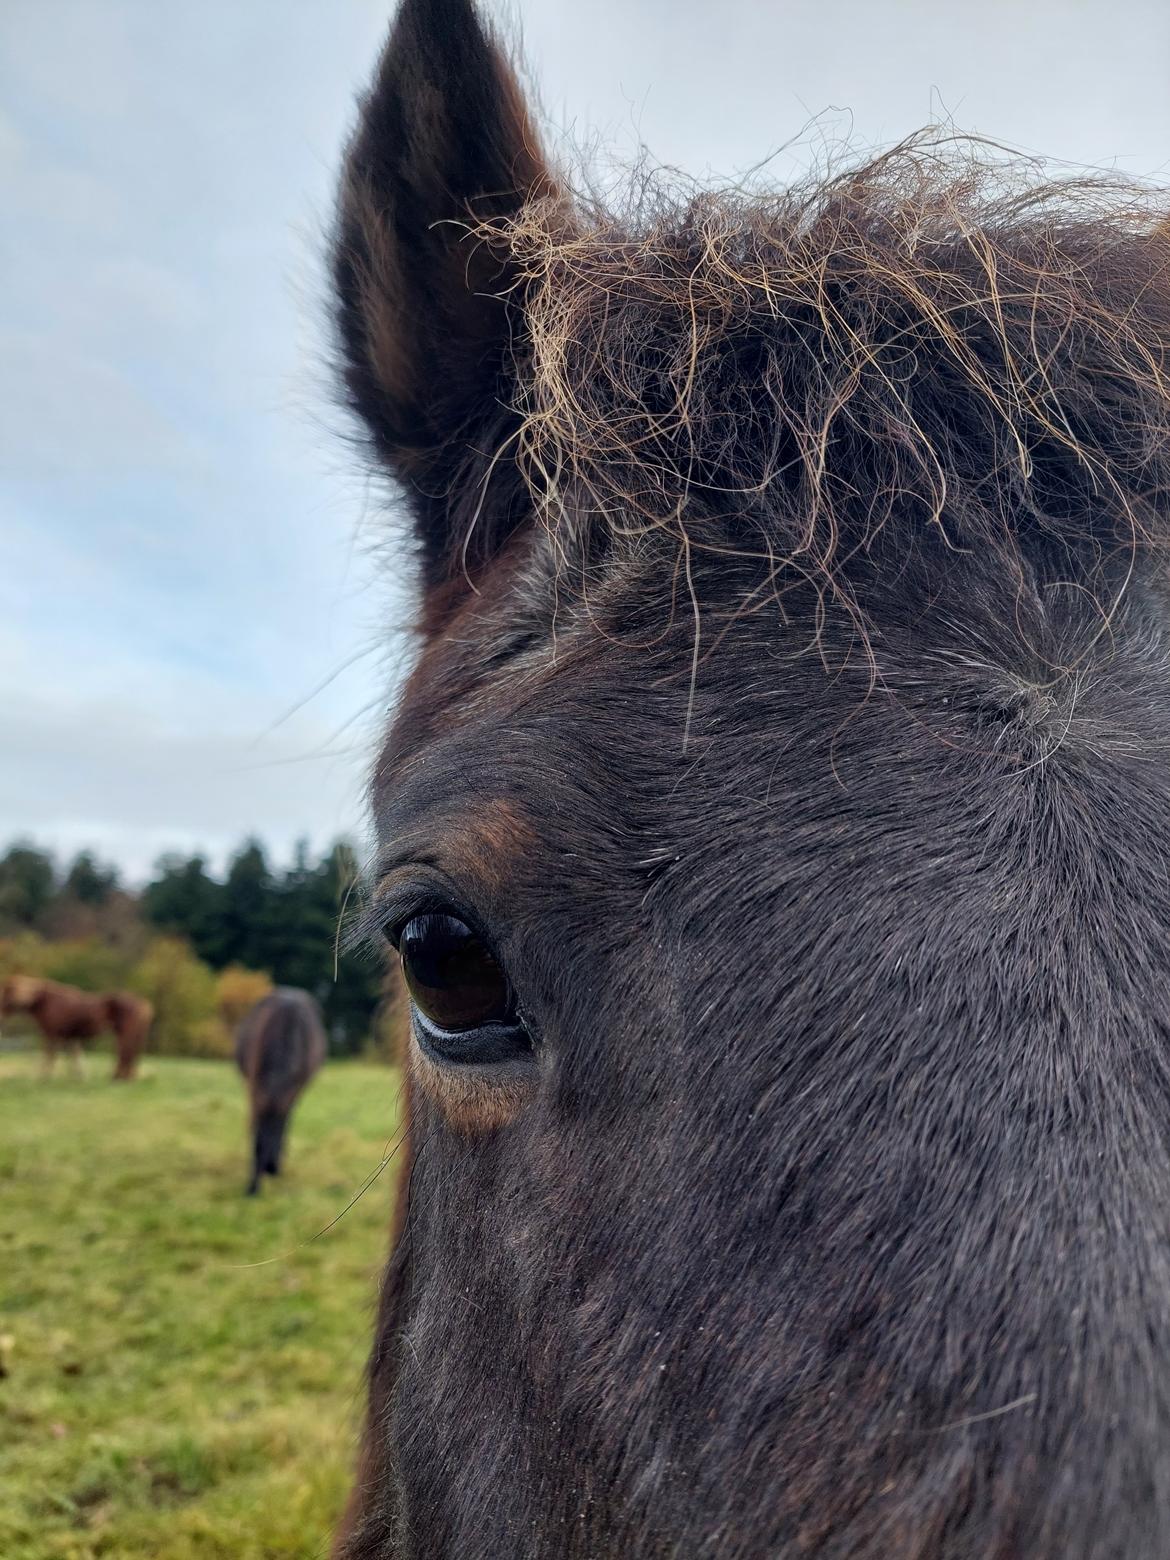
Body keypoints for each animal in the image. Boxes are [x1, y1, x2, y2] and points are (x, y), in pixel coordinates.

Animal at [0, 973, 153, 1085]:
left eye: (7, 992)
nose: (2, 1014)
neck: (45, 1001)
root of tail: (143, 1003)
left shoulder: (52, 1035)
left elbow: (51, 1057)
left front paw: (43, 1079)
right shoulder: (70, 1037)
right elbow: (74, 1058)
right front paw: (79, 1078)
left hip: (125, 1033)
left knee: (125, 1054)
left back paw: (119, 1078)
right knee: (129, 1055)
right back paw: (122, 1078)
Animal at [233, 985, 327, 1191]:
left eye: (277, 1128)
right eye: (259, 1134)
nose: (270, 1167)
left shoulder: (291, 1093)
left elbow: (286, 1122)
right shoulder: (254, 1088)